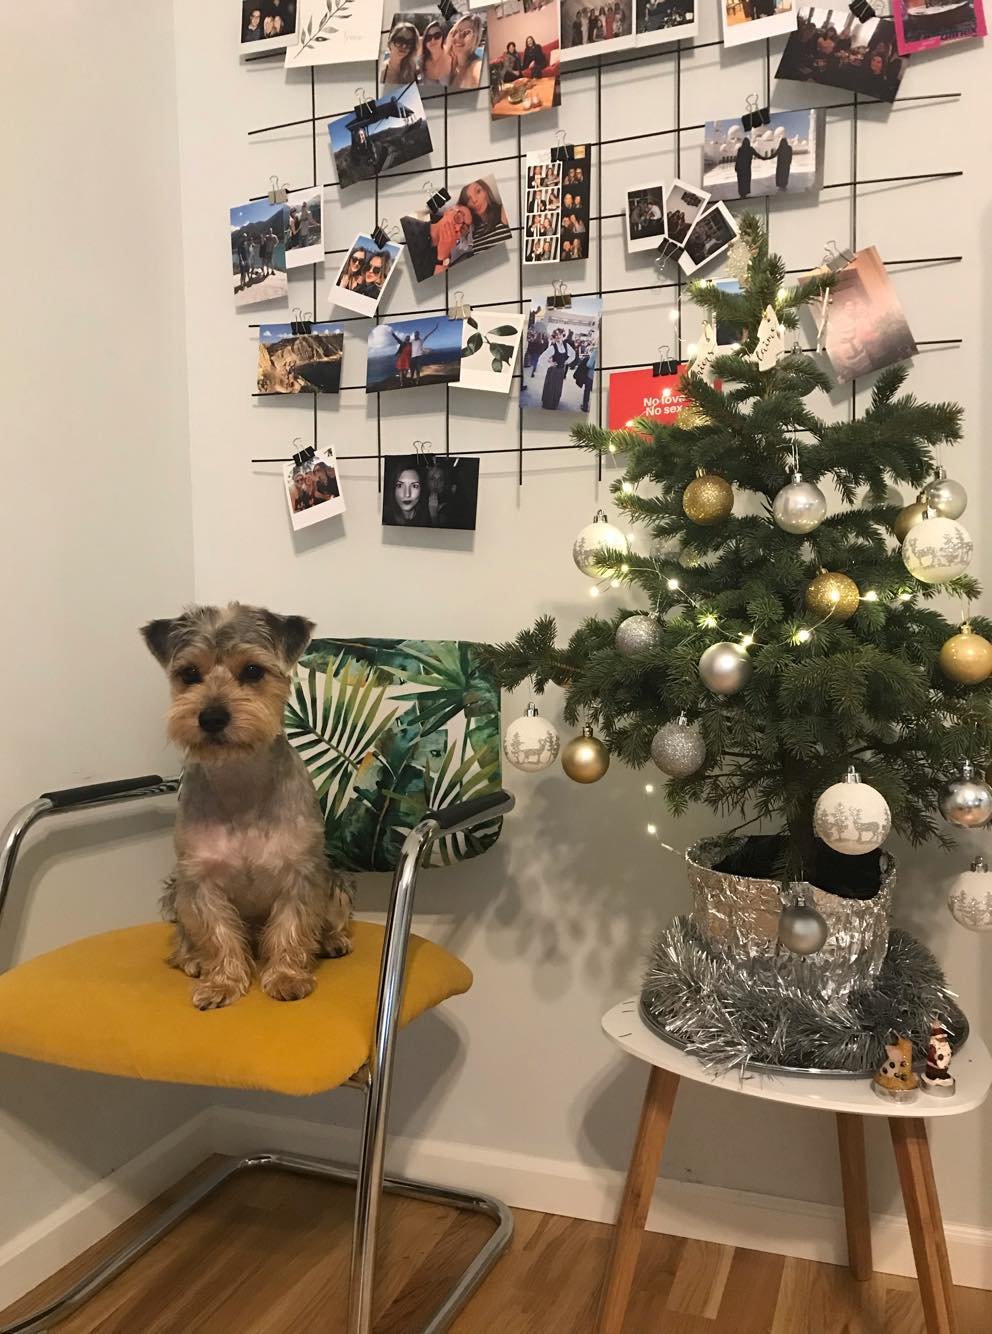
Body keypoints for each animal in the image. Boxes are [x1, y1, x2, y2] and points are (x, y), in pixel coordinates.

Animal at [141, 603, 353, 1010]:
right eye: (189, 674)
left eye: (253, 671)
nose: (211, 717)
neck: (240, 778)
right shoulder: (199, 879)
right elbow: (217, 933)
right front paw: (221, 982)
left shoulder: (301, 871)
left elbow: (292, 926)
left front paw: (287, 976)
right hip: (176, 889)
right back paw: (191, 957)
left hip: (334, 880)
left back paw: (332, 940)